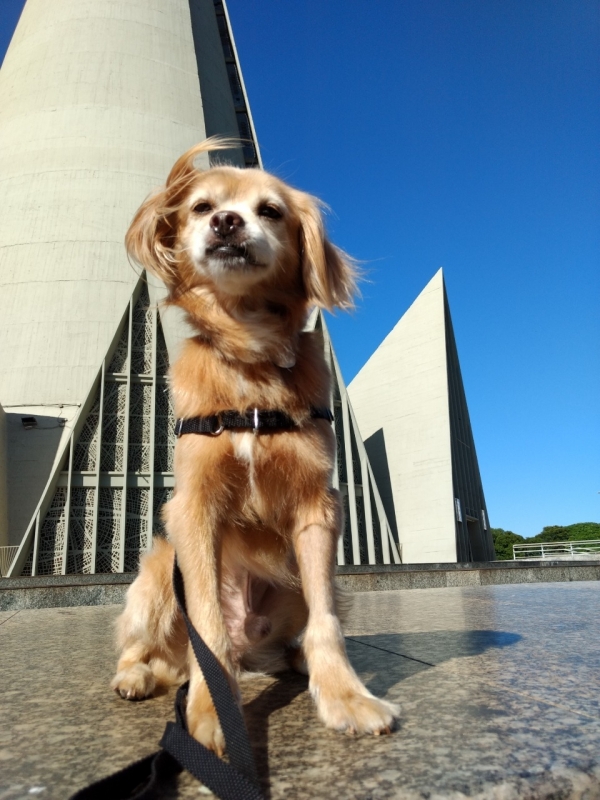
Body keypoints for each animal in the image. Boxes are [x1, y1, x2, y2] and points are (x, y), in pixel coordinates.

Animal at [111, 141, 404, 752]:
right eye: (200, 206)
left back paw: (296, 663)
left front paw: (345, 696)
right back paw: (136, 676)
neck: (249, 361)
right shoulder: (193, 508)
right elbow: (208, 632)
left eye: (270, 211)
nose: (226, 221)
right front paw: (211, 712)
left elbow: (326, 625)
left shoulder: (317, 508)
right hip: (158, 572)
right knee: (150, 648)